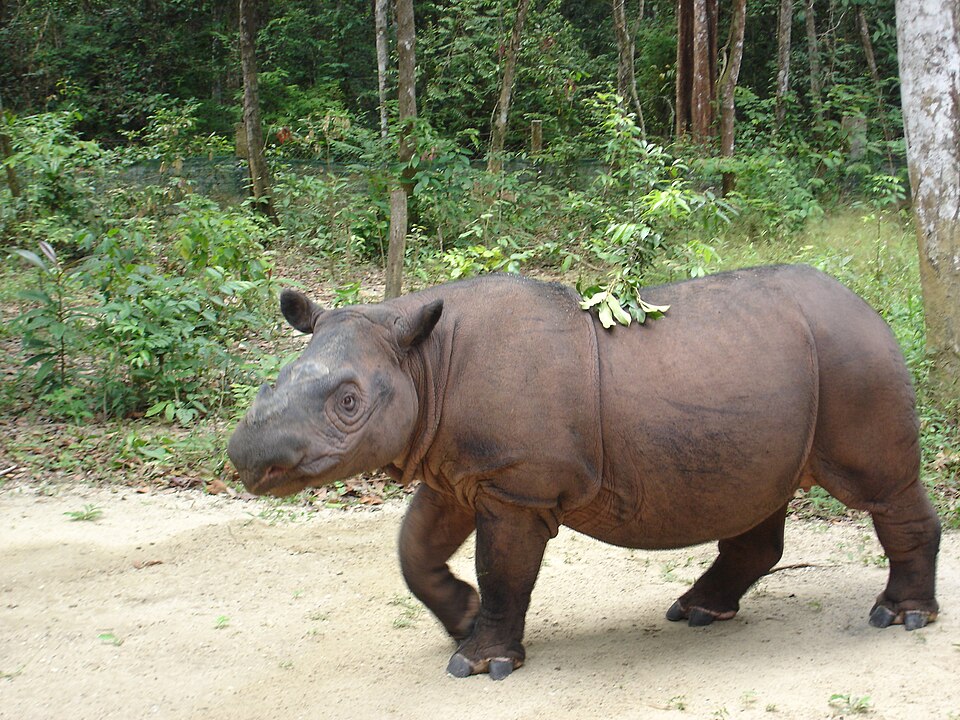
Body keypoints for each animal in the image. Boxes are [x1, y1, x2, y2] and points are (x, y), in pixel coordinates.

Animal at [227, 265, 940, 680]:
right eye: (274, 381)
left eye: (349, 402)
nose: (246, 458)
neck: (421, 360)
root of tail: (867, 304)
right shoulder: (458, 469)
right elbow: (415, 549)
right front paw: (462, 617)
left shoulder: (516, 484)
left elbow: (503, 568)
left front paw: (479, 665)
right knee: (756, 496)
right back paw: (697, 613)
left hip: (854, 355)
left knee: (881, 488)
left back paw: (899, 619)